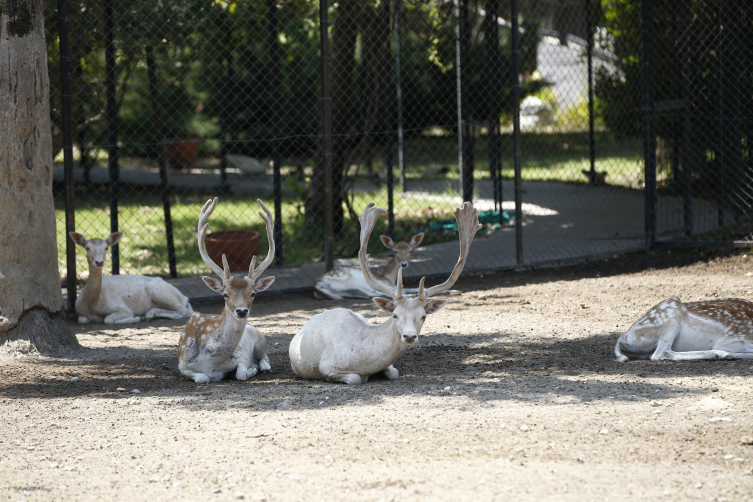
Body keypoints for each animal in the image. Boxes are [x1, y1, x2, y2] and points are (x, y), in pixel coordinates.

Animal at [178, 198, 276, 382]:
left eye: (253, 293)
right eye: (225, 294)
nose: (242, 311)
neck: (211, 363)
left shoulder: (241, 355)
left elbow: (241, 373)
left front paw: (251, 370)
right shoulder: (183, 365)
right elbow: (202, 378)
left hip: (260, 338)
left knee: (265, 356)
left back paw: (264, 368)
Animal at [288, 201, 482, 384]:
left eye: (423, 316)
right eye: (395, 315)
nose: (409, 336)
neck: (365, 361)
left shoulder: (389, 366)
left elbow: (394, 373)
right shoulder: (327, 366)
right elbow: (355, 378)